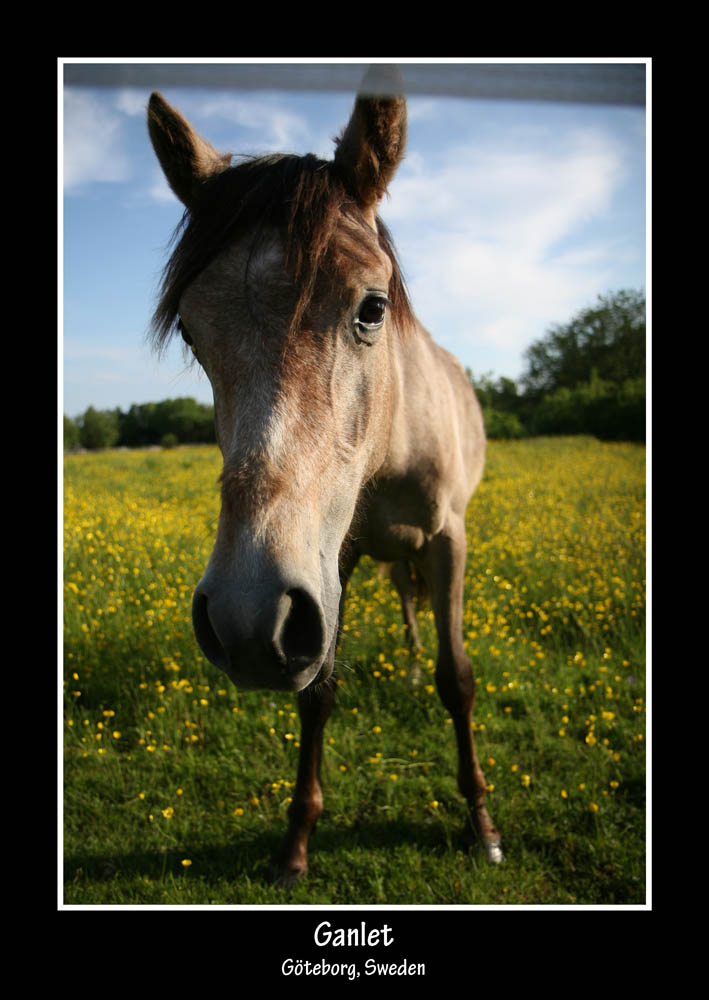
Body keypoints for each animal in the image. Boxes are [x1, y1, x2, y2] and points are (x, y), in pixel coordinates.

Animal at [148, 70, 504, 880]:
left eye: (372, 307)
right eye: (191, 331)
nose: (245, 619)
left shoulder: (450, 540)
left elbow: (459, 678)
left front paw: (481, 823)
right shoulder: (327, 566)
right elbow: (318, 693)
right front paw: (296, 844)